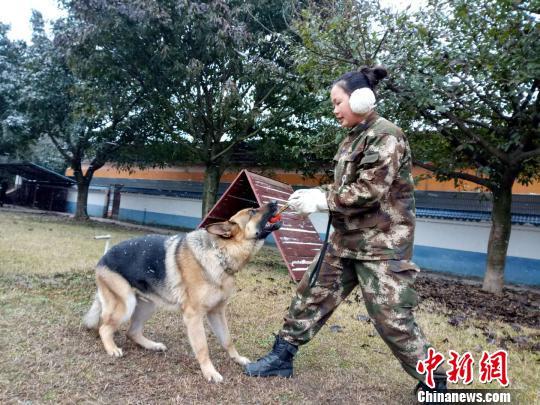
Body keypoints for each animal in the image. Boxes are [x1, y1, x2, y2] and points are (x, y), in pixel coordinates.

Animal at [83, 202, 282, 382]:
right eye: (252, 211)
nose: (275, 202)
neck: (220, 253)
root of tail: (103, 257)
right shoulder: (194, 316)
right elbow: (202, 347)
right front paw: (209, 372)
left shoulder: (217, 312)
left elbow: (227, 340)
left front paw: (238, 359)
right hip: (126, 304)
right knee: (104, 328)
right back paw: (112, 348)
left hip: (148, 305)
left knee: (132, 332)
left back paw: (152, 345)